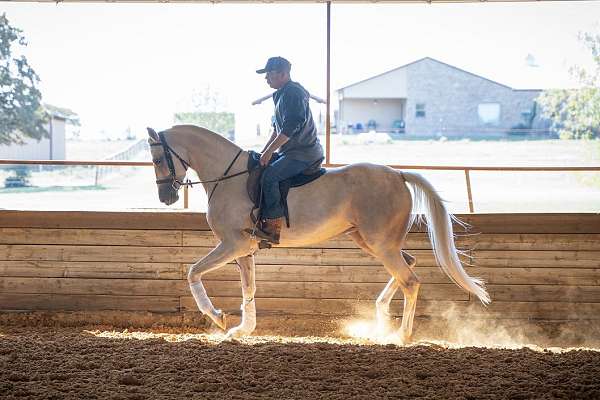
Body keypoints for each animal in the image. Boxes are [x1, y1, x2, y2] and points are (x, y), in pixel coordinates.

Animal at [148, 124, 490, 340]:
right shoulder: (245, 249)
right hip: (370, 241)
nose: (166, 197)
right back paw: (381, 315)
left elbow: (193, 272)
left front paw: (217, 316)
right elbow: (249, 289)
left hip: (380, 244)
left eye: (157, 158)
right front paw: (243, 330)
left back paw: (401, 335)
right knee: (409, 265)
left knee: (410, 280)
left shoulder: (233, 244)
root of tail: (397, 174)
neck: (228, 176)